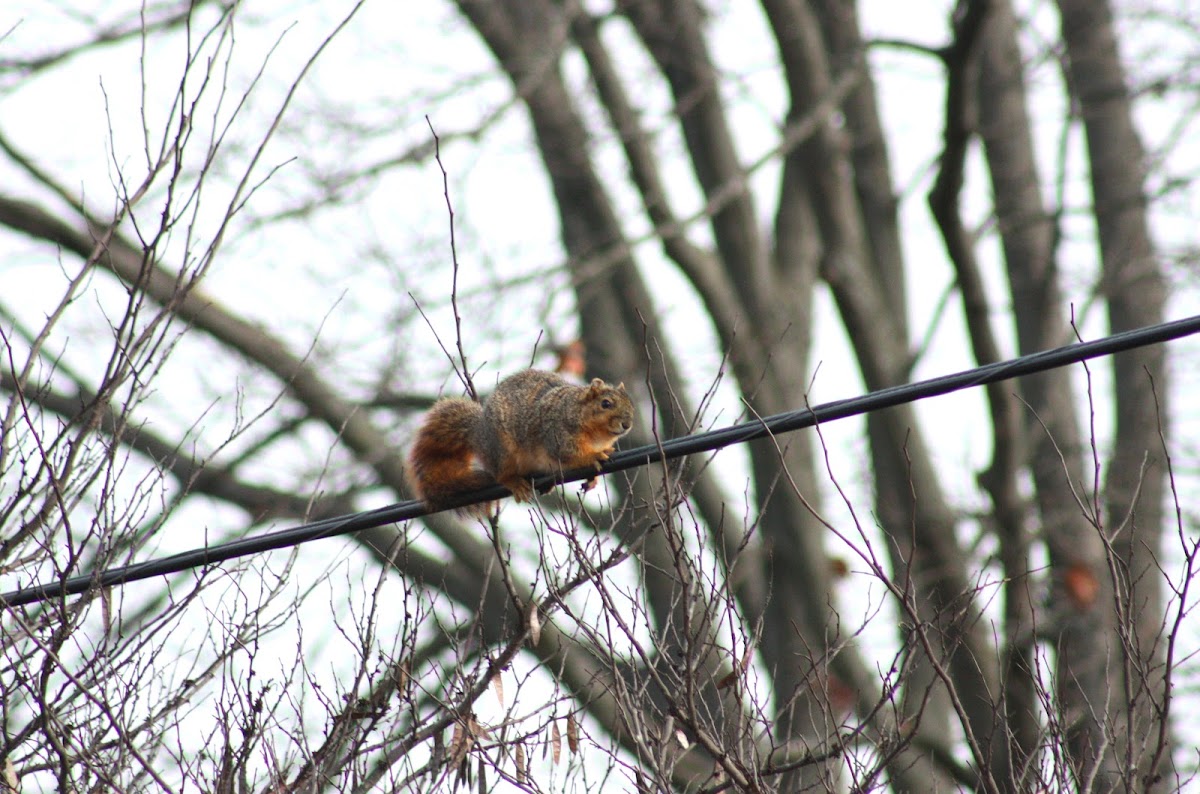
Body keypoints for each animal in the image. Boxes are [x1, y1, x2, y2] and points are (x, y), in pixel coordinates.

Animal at [405, 369, 633, 513]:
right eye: (605, 404)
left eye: (630, 403)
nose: (627, 424)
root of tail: (479, 434)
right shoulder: (557, 434)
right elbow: (568, 454)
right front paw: (593, 456)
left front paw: (593, 478)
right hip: (502, 451)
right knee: (501, 475)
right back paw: (515, 483)